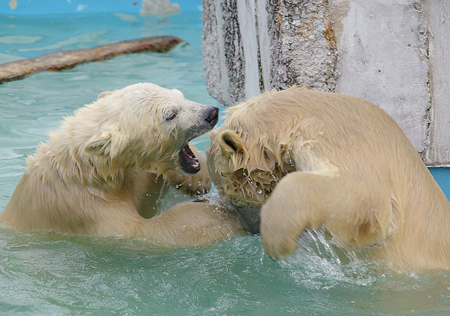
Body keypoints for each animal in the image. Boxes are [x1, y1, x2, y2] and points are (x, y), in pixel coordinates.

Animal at [0, 82, 244, 246]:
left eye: (181, 96)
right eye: (170, 114)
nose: (211, 112)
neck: (90, 171)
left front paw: (196, 180)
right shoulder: (89, 212)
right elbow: (148, 231)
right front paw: (223, 217)